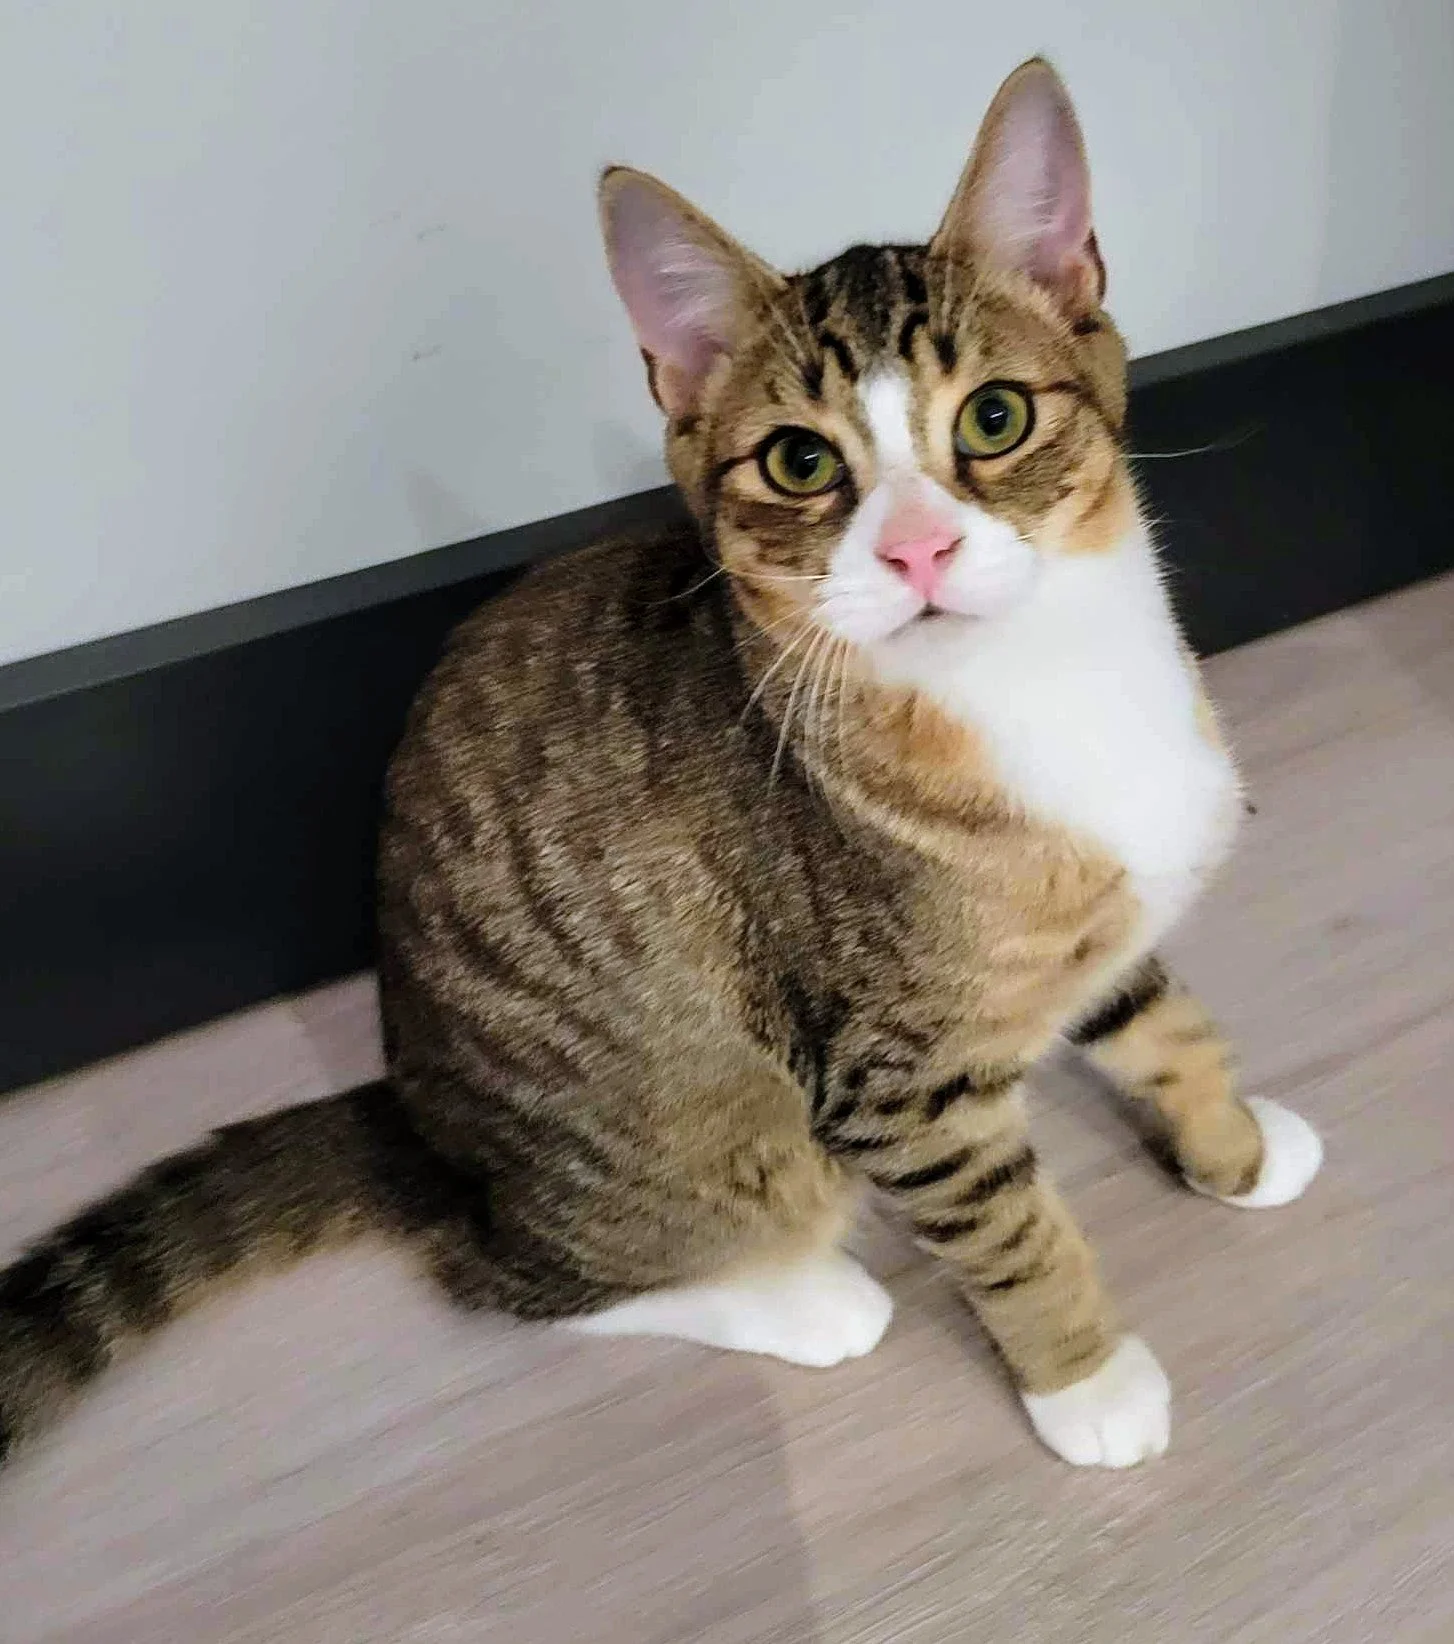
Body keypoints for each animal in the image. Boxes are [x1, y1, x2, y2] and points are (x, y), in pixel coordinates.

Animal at [0, 58, 1322, 1475]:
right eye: (800, 460)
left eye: (995, 416)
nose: (913, 549)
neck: (1032, 683)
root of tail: (423, 1133)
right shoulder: (893, 1076)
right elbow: (1007, 1230)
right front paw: (1085, 1381)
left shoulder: (1099, 926)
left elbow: (1160, 1021)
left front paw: (1233, 1145)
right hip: (722, 1144)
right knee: (514, 1279)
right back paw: (804, 1301)